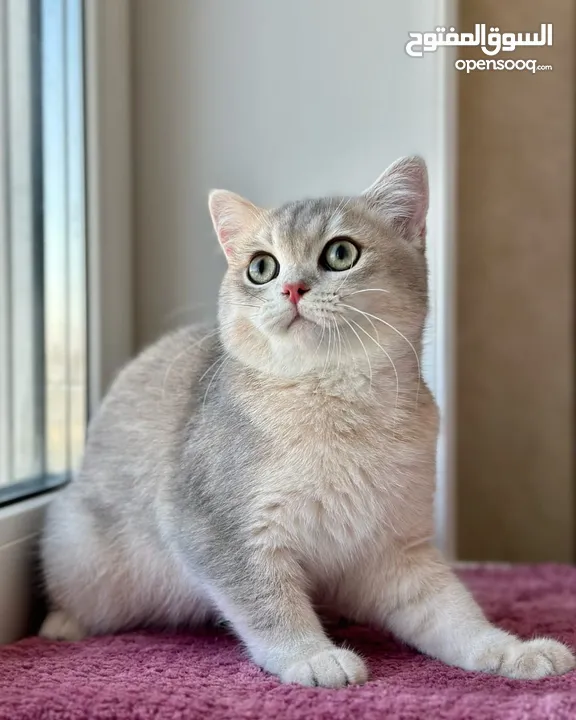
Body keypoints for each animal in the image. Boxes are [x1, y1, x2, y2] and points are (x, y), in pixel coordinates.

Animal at [39, 158, 572, 688]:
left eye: (340, 253)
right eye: (261, 267)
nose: (292, 288)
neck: (338, 404)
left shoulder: (397, 551)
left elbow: (454, 615)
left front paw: (510, 651)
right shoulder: (214, 529)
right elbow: (269, 604)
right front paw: (312, 657)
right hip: (82, 553)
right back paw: (62, 625)